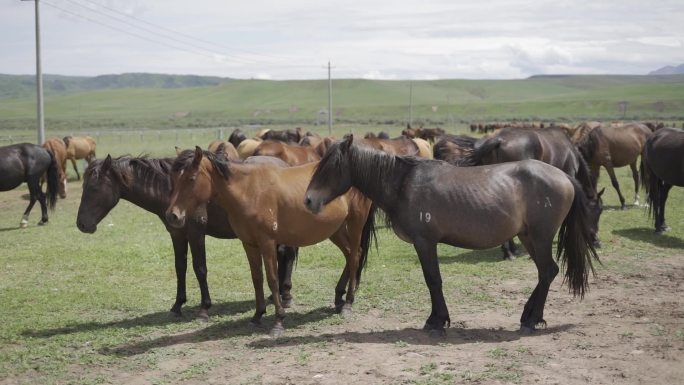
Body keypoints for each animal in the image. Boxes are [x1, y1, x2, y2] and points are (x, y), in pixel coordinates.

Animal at [76, 154, 298, 320]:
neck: (173, 191)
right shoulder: (177, 234)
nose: (82, 224)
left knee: (286, 254)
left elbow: (200, 268)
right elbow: (180, 267)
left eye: (94, 188)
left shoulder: (195, 233)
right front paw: (177, 305)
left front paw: (204, 308)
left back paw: (285, 295)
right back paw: (276, 294)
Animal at [167, 147, 380, 336]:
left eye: (191, 178)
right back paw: (338, 298)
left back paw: (348, 303)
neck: (249, 191)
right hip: (335, 229)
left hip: (355, 222)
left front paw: (278, 321)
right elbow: (257, 278)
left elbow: (273, 279)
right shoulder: (249, 243)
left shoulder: (267, 242)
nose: (173, 216)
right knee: (350, 255)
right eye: (174, 179)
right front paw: (257, 315)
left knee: (355, 256)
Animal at [304, 136, 600, 334]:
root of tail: (564, 177)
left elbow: (433, 281)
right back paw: (529, 316)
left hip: (540, 237)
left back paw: (531, 319)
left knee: (547, 271)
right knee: (545, 272)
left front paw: (436, 321)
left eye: (331, 166)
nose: (308, 201)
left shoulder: (425, 243)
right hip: (529, 237)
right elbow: (433, 281)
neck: (404, 183)